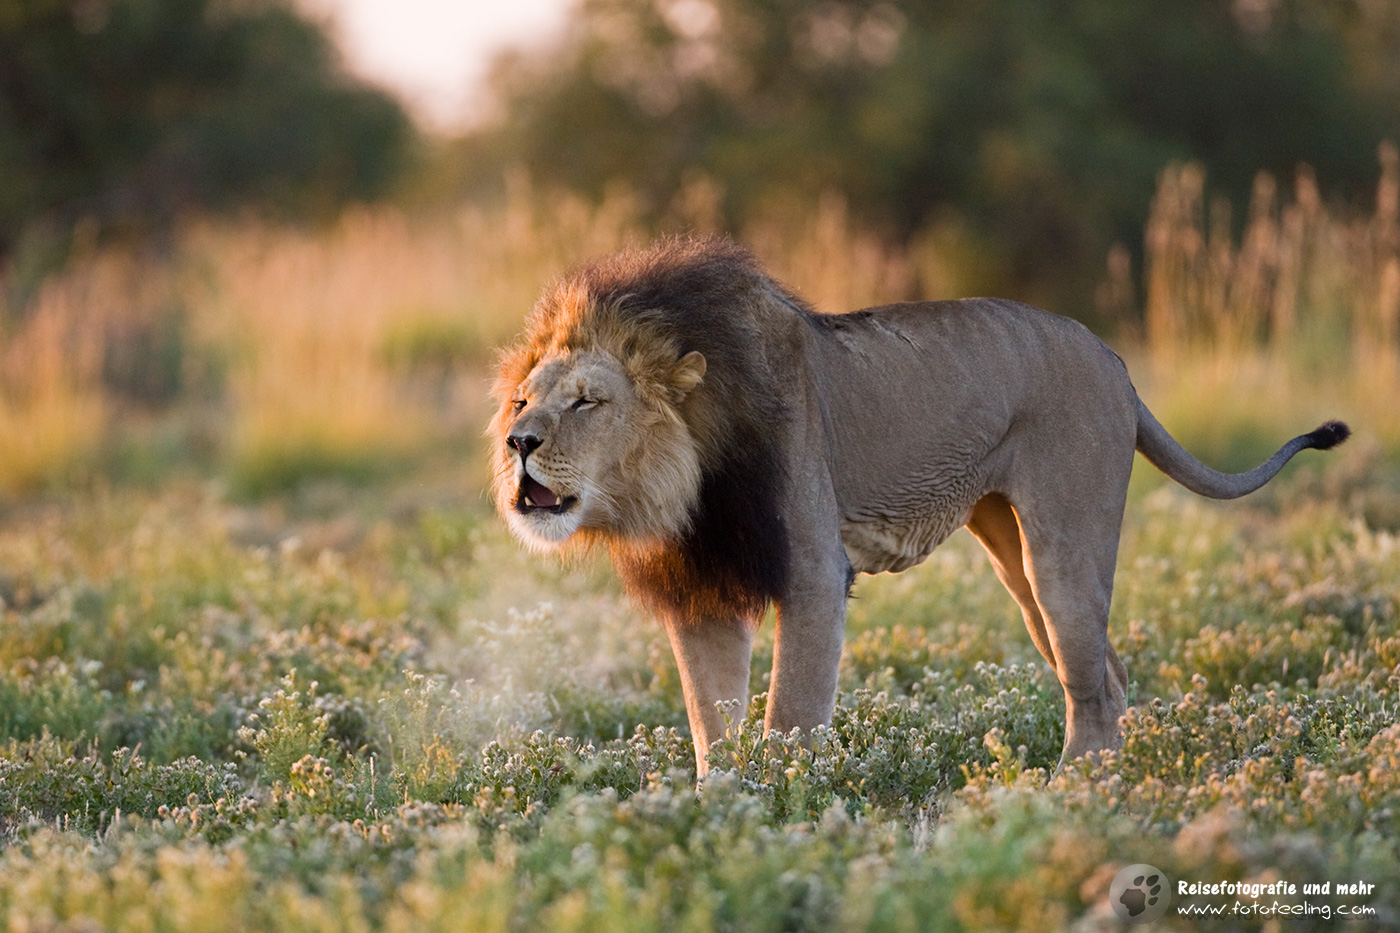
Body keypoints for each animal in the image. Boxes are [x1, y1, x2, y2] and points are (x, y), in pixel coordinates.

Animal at [490, 235, 1350, 777]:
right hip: (1011, 552)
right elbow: (711, 723)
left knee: (1094, 679)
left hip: (1062, 543)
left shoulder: (811, 571)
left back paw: (1073, 796)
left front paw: (785, 810)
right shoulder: (702, 588)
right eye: (525, 399)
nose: (517, 442)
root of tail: (1115, 360)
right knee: (1107, 667)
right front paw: (720, 812)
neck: (683, 484)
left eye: (588, 400)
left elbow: (790, 714)